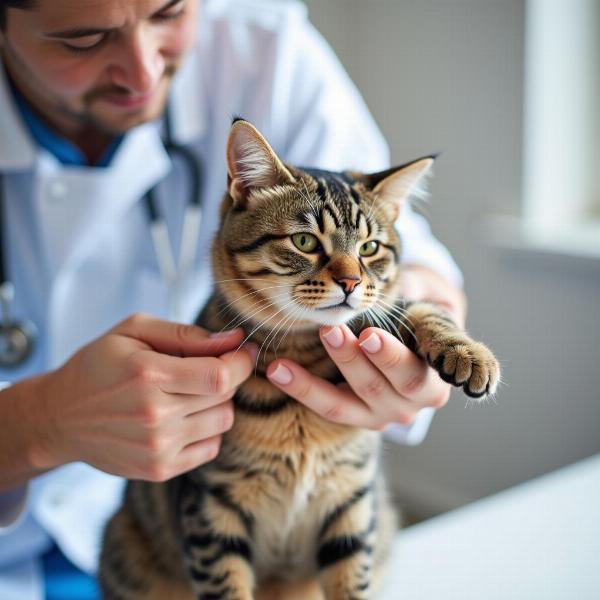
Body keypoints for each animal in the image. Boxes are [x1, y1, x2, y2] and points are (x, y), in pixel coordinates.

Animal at [101, 119, 500, 596]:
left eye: (369, 248)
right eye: (305, 241)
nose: (350, 282)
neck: (303, 348)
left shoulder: (350, 503)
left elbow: (422, 308)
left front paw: (471, 355)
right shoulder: (211, 508)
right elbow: (226, 585)